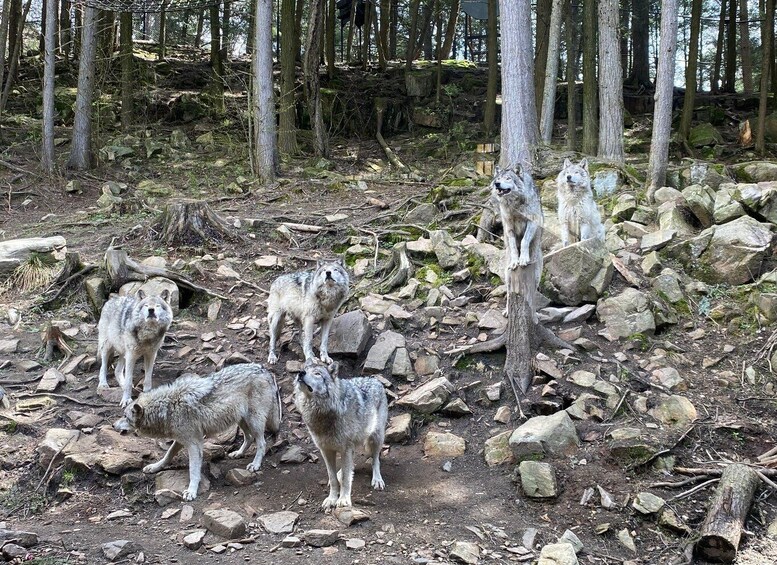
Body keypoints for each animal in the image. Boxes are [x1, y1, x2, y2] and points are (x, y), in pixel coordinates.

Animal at [113, 364, 280, 500]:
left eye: (125, 416)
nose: (114, 425)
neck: (167, 408)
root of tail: (264, 370)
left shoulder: (194, 444)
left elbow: (193, 470)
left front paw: (191, 491)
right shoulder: (181, 439)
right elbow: (168, 455)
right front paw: (155, 467)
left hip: (254, 421)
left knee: (262, 442)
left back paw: (255, 464)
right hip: (241, 419)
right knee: (249, 438)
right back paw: (238, 453)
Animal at [292, 364, 386, 508]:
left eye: (317, 373)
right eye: (305, 369)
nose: (300, 373)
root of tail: (374, 379)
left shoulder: (345, 449)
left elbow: (346, 478)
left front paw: (343, 499)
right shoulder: (326, 450)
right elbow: (333, 477)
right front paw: (332, 499)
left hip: (376, 437)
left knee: (375, 459)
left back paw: (377, 480)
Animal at [494, 164, 544, 312]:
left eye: (508, 178)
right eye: (498, 179)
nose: (496, 184)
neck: (514, 206)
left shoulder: (532, 223)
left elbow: (524, 242)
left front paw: (523, 259)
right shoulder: (509, 227)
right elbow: (513, 246)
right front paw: (515, 261)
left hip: (537, 275)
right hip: (507, 276)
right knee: (509, 293)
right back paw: (507, 311)